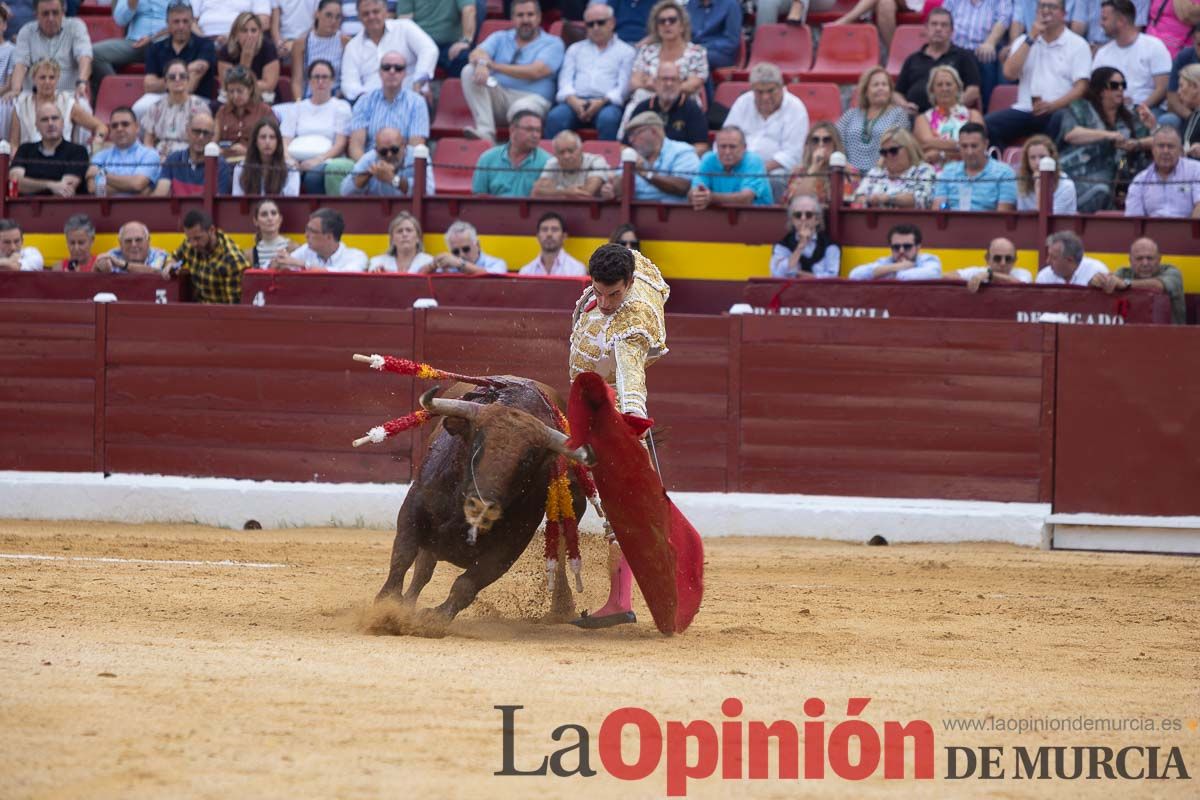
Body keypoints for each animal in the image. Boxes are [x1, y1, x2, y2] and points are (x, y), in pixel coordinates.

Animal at [376, 379, 592, 623]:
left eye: (527, 460)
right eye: (477, 444)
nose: (482, 505)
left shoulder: (508, 548)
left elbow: (466, 584)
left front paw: (435, 618)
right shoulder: (414, 509)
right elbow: (403, 555)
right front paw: (388, 605)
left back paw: (561, 608)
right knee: (423, 569)